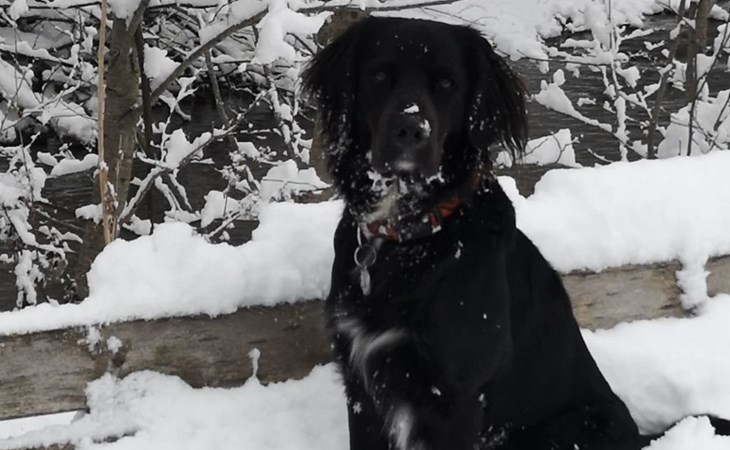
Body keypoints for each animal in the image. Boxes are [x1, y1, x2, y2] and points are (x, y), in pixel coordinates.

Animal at [302, 16, 730, 450]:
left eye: (446, 83)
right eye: (378, 76)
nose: (410, 129)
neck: (412, 238)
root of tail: (638, 438)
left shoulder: (455, 395)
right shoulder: (361, 383)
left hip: (565, 429)